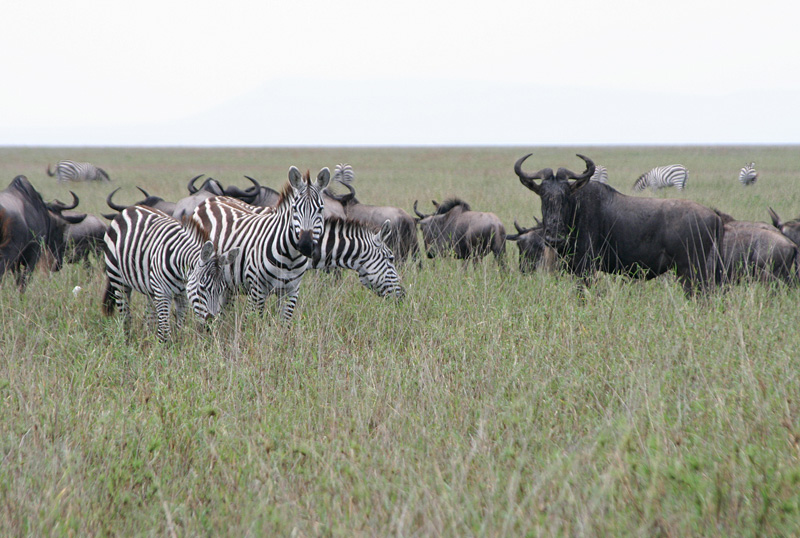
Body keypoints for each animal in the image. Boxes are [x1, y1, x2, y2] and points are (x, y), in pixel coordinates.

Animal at [102, 205, 239, 342]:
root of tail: (129, 208)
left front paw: (177, 344)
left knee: (149, 317)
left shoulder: (183, 295)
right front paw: (164, 346)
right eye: (202, 288)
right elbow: (164, 330)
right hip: (118, 279)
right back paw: (127, 342)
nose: (211, 324)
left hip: (150, 289)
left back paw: (148, 339)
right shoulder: (163, 293)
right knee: (125, 316)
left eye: (221, 290)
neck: (181, 270)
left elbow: (180, 326)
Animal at [189, 166, 330, 321]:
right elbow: (254, 321)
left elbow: (284, 323)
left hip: (228, 284)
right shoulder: (257, 290)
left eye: (320, 209)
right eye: (294, 208)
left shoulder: (292, 291)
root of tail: (213, 198)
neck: (291, 258)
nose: (305, 244)